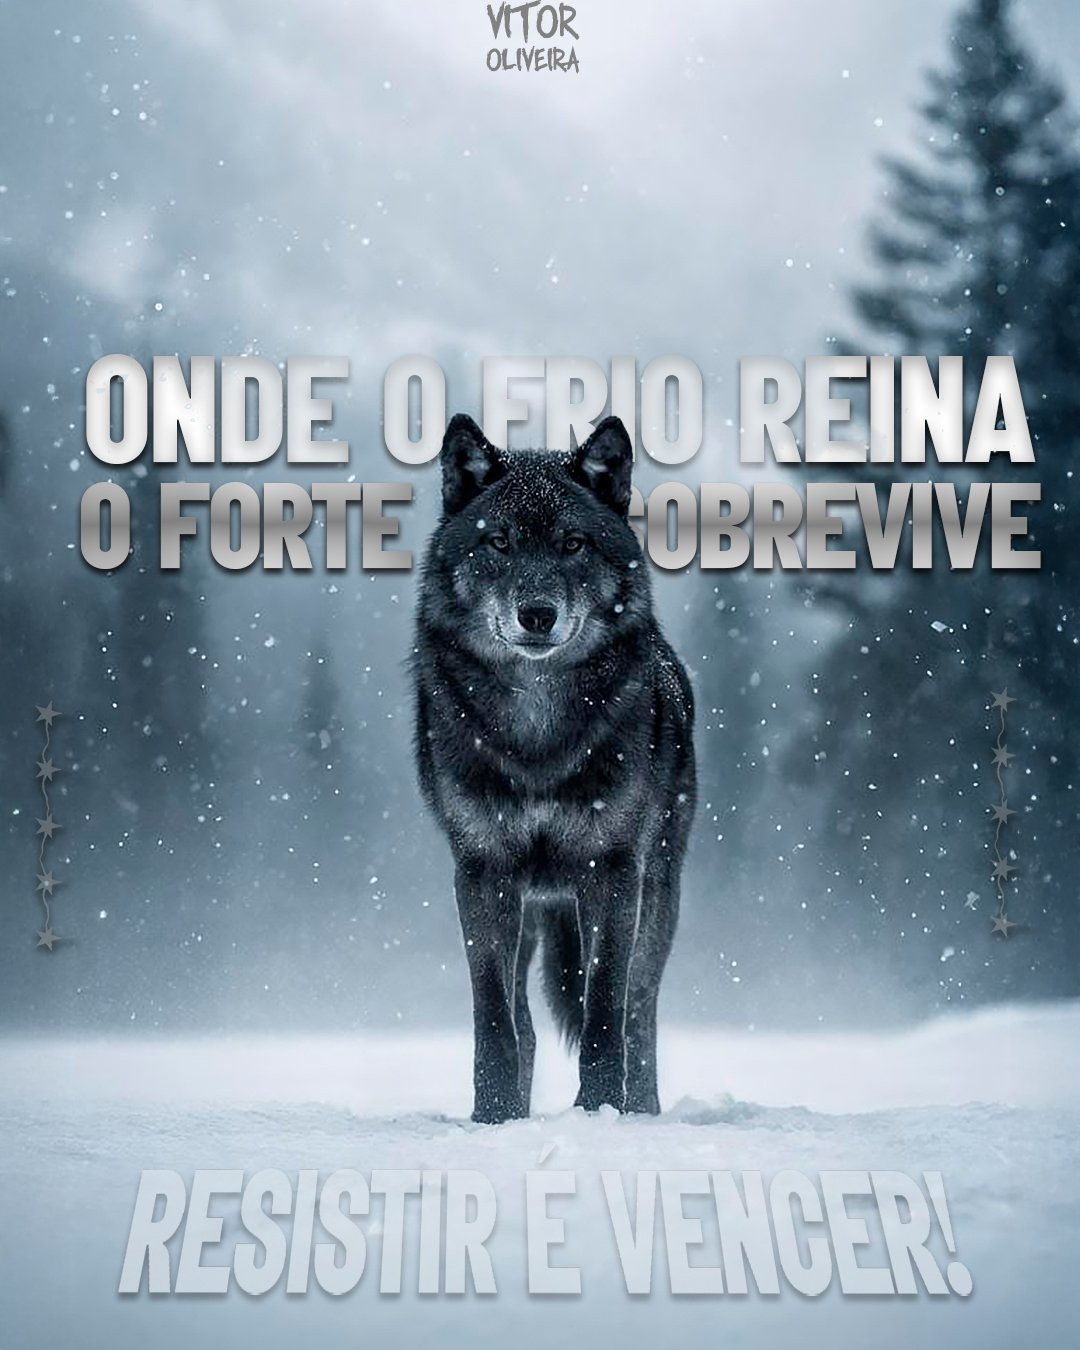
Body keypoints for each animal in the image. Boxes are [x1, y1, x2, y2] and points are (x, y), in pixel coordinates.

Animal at [413, 413, 695, 1123]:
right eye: (500, 542)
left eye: (573, 544)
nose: (536, 614)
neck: (537, 739)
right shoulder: (481, 872)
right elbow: (494, 1020)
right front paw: (493, 1118)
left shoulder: (614, 871)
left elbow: (604, 1011)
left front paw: (600, 1113)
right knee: (526, 1022)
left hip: (660, 894)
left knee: (640, 1014)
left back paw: (641, 1109)